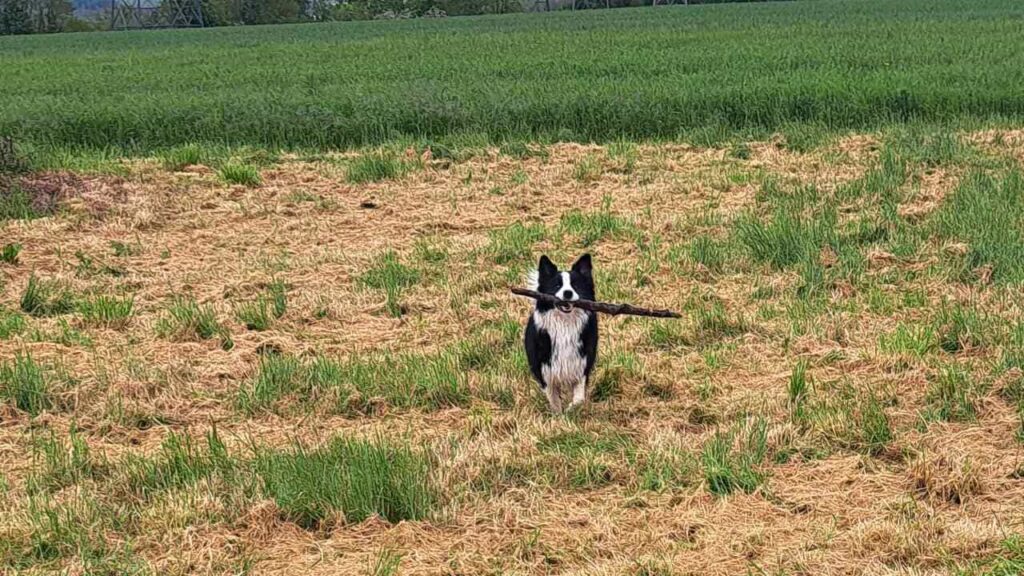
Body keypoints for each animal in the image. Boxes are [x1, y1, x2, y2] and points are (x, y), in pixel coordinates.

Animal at [524, 253, 598, 409]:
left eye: (575, 286)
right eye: (557, 286)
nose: (568, 293)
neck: (565, 324)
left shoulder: (582, 363)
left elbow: (579, 397)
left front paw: (572, 408)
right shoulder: (544, 368)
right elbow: (553, 398)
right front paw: (558, 413)